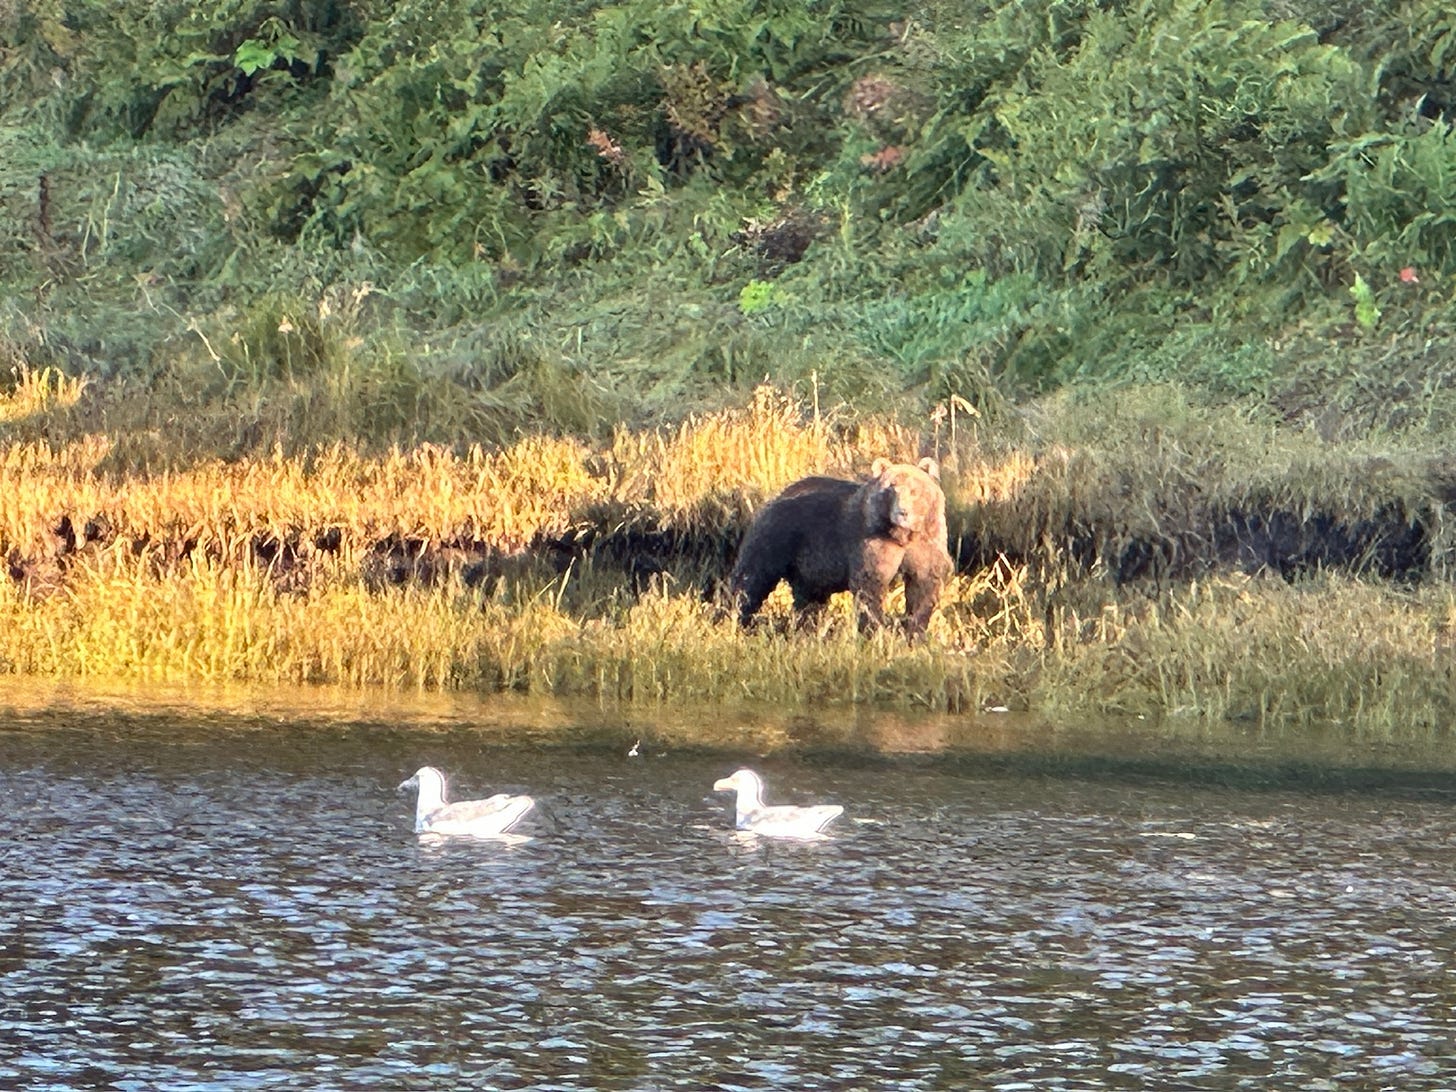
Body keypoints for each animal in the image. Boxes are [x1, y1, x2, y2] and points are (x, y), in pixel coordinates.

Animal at [728, 454, 955, 640]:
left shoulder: (926, 542)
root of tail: (777, 495)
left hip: (809, 560)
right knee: (751, 579)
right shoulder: (873, 542)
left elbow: (924, 582)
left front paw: (914, 630)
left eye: (914, 489)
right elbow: (870, 583)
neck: (902, 535)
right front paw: (874, 630)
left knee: (810, 597)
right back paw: (736, 618)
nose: (902, 512)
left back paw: (807, 628)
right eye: (892, 487)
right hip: (776, 537)